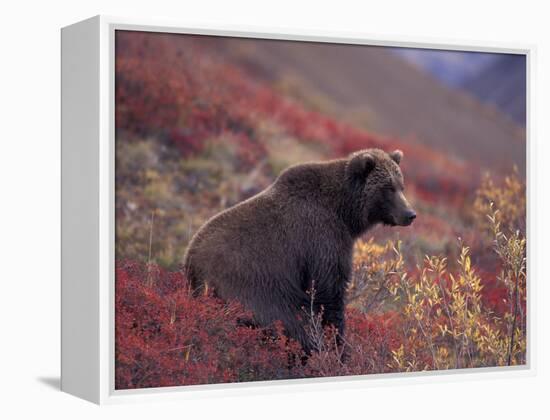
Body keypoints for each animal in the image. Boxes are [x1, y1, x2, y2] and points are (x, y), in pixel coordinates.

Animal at [183, 149, 416, 352]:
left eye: (401, 186)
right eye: (388, 188)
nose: (410, 214)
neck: (344, 213)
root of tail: (192, 263)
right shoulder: (322, 239)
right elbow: (328, 291)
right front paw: (338, 345)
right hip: (255, 289)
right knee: (291, 324)